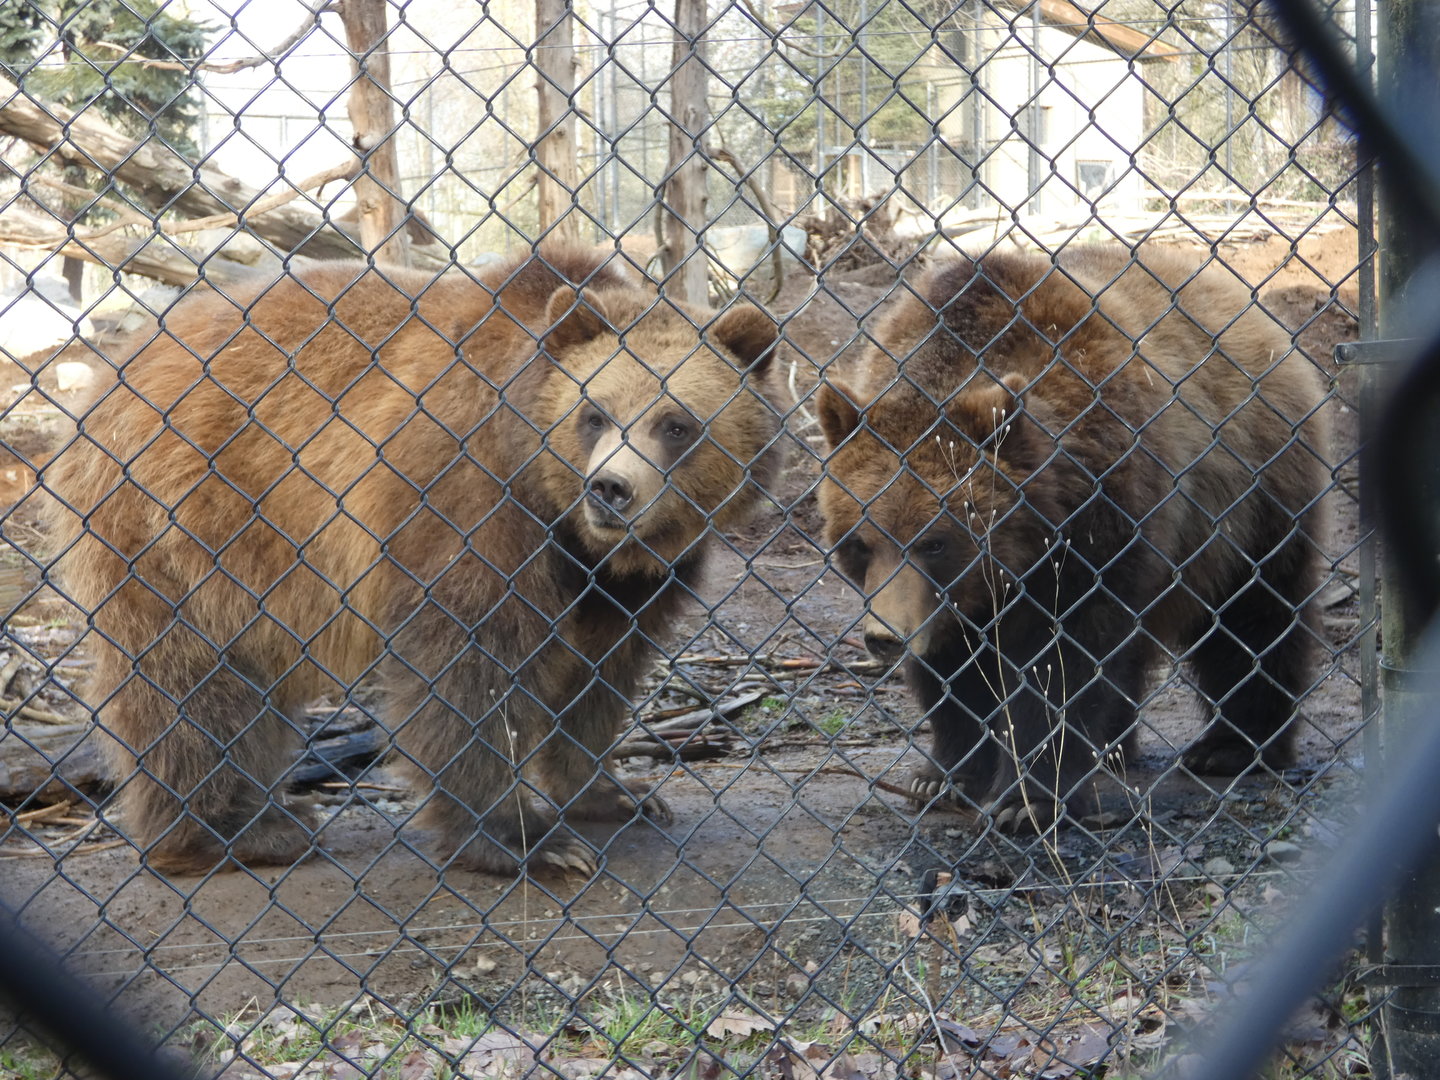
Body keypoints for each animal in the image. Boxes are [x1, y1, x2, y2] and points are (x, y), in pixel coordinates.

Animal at [40, 248, 782, 875]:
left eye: (676, 423)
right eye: (595, 414)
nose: (611, 489)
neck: (559, 512)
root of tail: (117, 363)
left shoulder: (626, 578)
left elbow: (599, 672)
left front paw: (616, 793)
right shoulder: (463, 496)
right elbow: (465, 664)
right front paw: (524, 839)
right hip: (185, 515)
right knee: (187, 676)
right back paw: (238, 831)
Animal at [816, 246, 1329, 833]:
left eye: (936, 541)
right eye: (860, 540)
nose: (885, 637)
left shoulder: (1100, 522)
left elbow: (1062, 663)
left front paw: (1029, 800)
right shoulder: (948, 599)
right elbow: (954, 671)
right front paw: (944, 775)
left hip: (1254, 493)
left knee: (1255, 615)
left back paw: (1233, 747)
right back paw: (1116, 748)